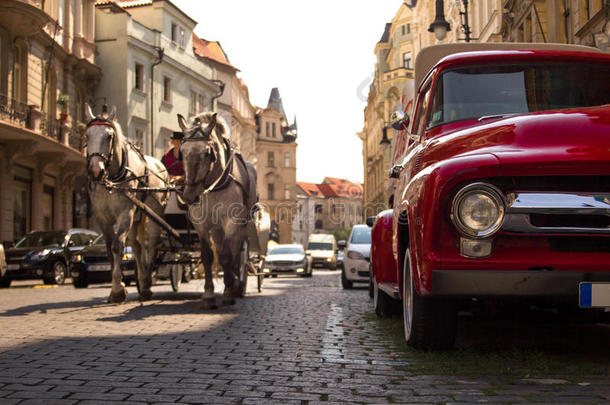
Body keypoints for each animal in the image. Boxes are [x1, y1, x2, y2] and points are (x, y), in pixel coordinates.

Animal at [178, 112, 258, 308]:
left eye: (207, 153)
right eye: (182, 152)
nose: (189, 196)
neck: (214, 185)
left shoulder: (232, 221)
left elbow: (227, 255)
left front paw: (229, 290)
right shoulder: (202, 225)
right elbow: (208, 256)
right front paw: (208, 294)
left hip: (240, 225)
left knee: (236, 251)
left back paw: (236, 283)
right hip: (217, 228)